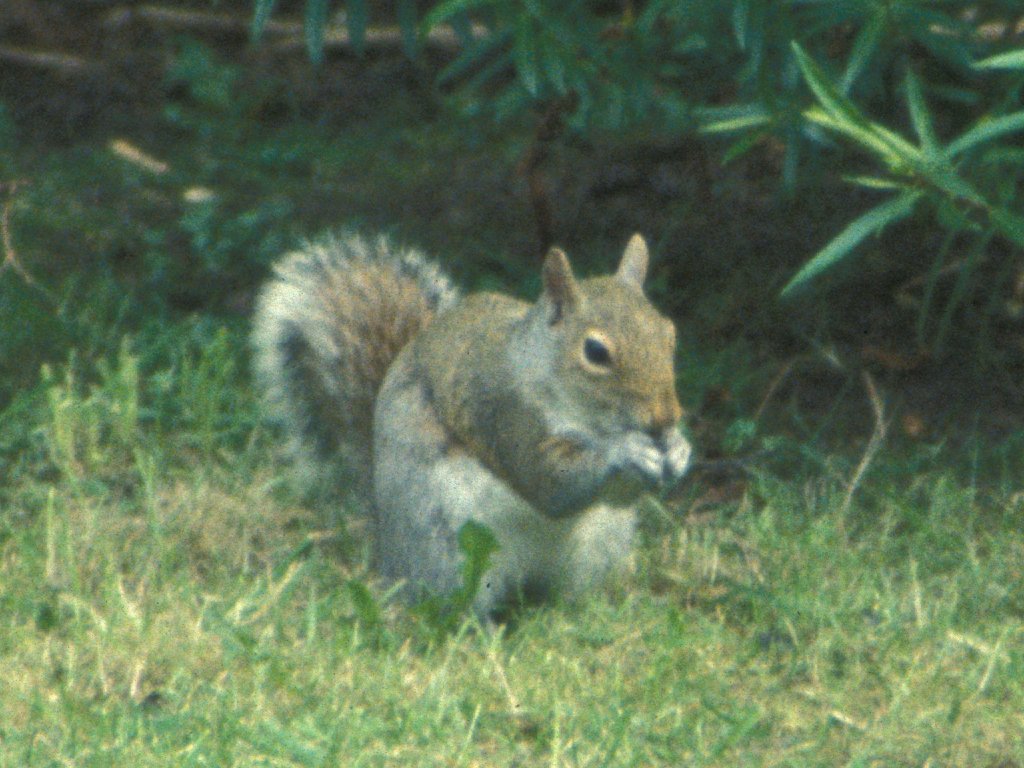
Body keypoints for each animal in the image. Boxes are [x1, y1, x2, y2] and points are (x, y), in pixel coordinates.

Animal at [251, 231, 692, 617]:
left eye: (670, 333)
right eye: (595, 351)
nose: (665, 417)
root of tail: (391, 555)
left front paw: (678, 449)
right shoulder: (504, 412)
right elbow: (549, 482)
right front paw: (625, 451)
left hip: (597, 547)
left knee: (565, 596)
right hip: (447, 545)